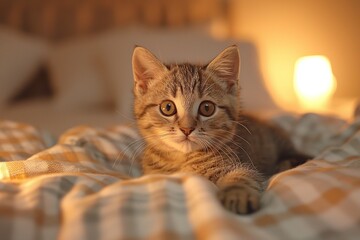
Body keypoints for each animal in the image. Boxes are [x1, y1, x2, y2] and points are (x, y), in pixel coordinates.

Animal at [132, 45, 310, 214]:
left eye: (207, 108)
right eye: (167, 107)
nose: (187, 129)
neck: (183, 161)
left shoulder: (238, 165)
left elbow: (242, 176)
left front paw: (238, 195)